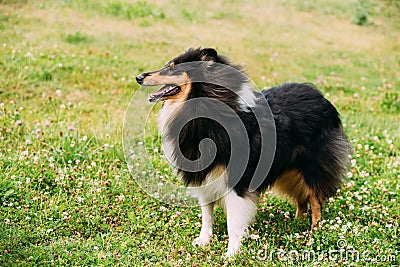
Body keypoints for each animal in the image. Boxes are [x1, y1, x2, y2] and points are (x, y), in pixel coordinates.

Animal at [135, 47, 350, 258]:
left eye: (173, 68)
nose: (138, 77)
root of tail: (320, 96)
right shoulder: (204, 177)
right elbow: (207, 215)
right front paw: (204, 241)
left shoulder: (236, 182)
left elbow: (233, 222)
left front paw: (231, 253)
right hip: (288, 171)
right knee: (301, 198)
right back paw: (297, 222)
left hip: (312, 166)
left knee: (315, 199)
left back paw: (314, 231)